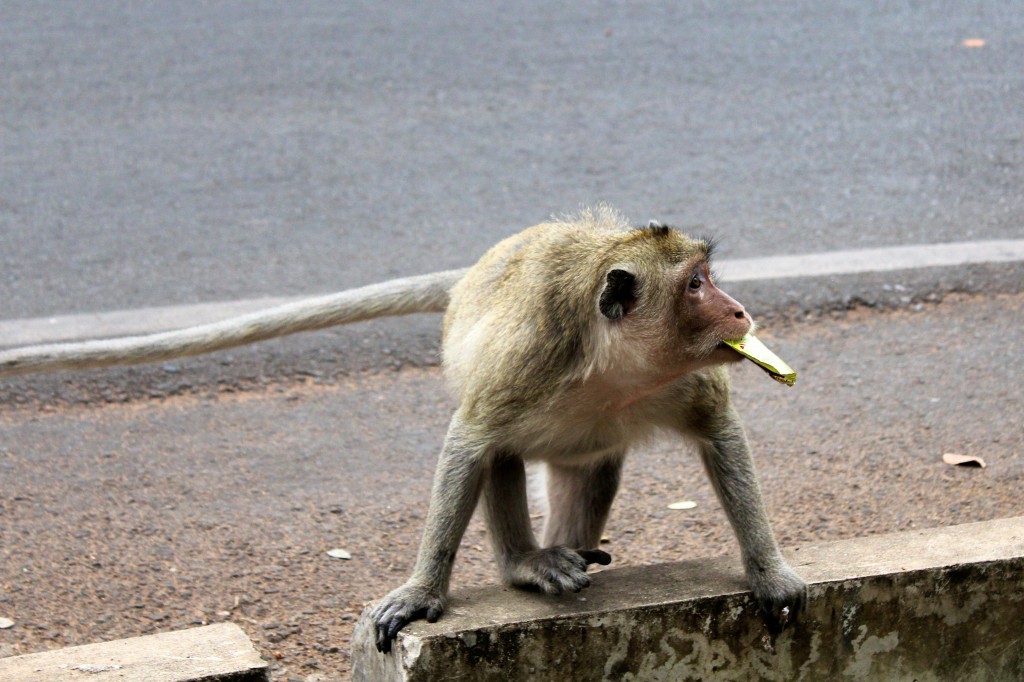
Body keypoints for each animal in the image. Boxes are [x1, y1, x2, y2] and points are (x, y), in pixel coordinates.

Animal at [4, 204, 811, 651]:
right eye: (696, 284)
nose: (740, 310)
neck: (616, 368)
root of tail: (469, 277)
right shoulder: (525, 366)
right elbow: (470, 442)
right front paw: (424, 591)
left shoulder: (689, 380)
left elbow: (719, 433)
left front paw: (768, 571)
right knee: (500, 453)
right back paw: (527, 563)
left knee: (592, 462)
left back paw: (567, 546)